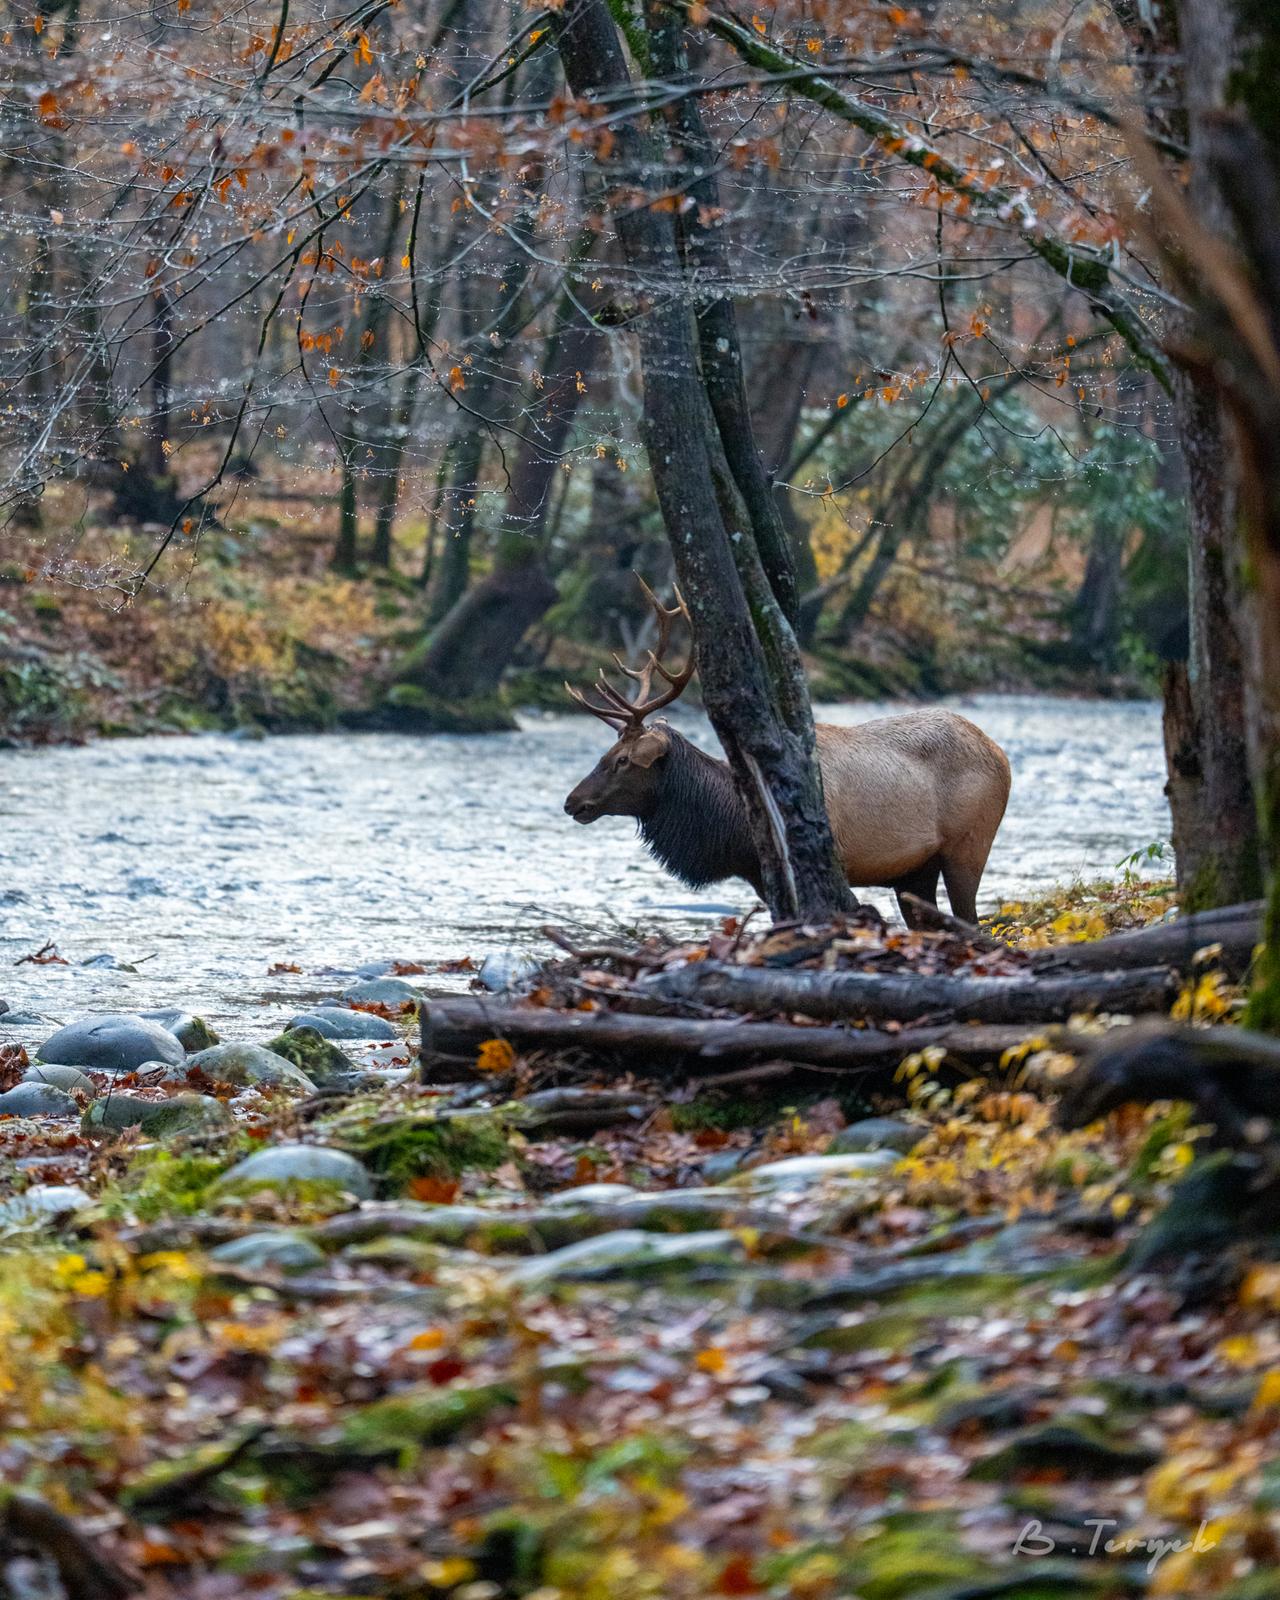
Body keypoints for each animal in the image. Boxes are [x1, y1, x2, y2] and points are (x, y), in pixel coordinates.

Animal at [563, 582, 1012, 926]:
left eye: (621, 760)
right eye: (607, 751)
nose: (572, 802)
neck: (733, 829)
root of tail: (1001, 755)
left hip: (969, 845)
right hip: (915, 871)